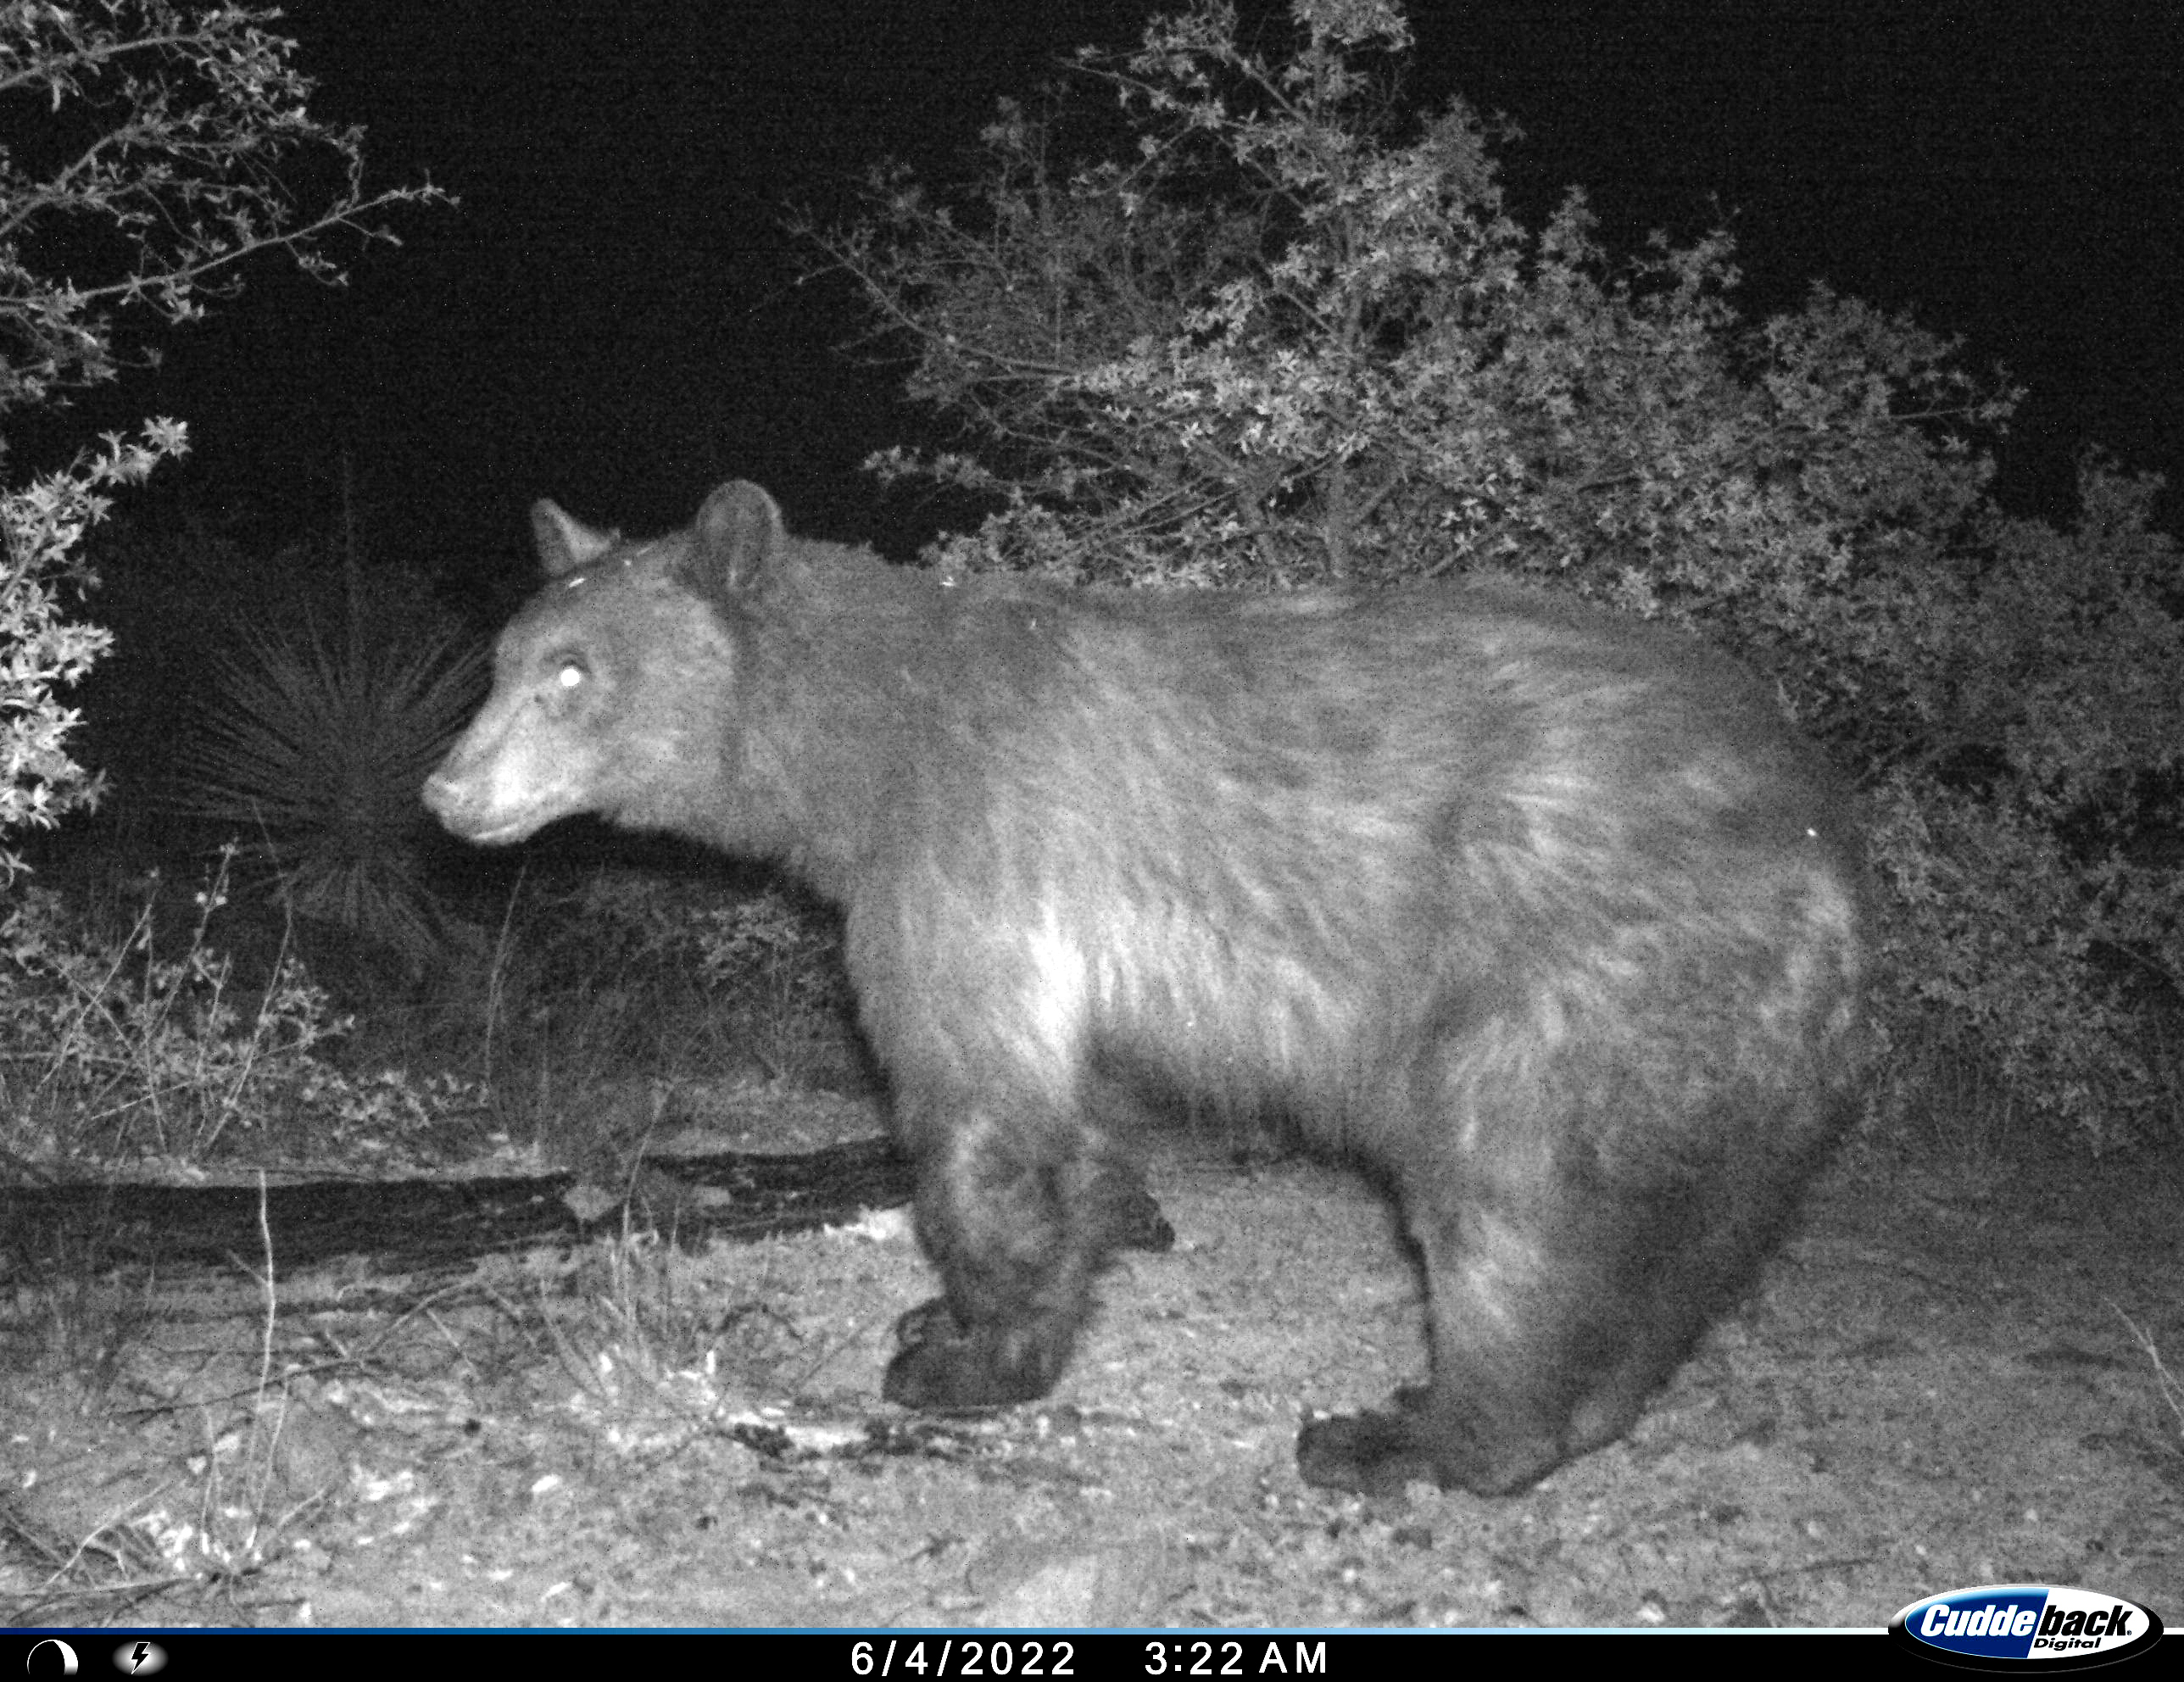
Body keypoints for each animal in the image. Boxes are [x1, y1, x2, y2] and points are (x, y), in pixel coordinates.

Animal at [424, 479, 1871, 1496]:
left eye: (574, 674)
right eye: (502, 661)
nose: (446, 790)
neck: (865, 743)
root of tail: (1833, 867)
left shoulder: (967, 851)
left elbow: (978, 1107)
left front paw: (964, 1358)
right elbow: (1076, 1115)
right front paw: (1017, 1280)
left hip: (1579, 986)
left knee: (1517, 1210)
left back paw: (1409, 1436)